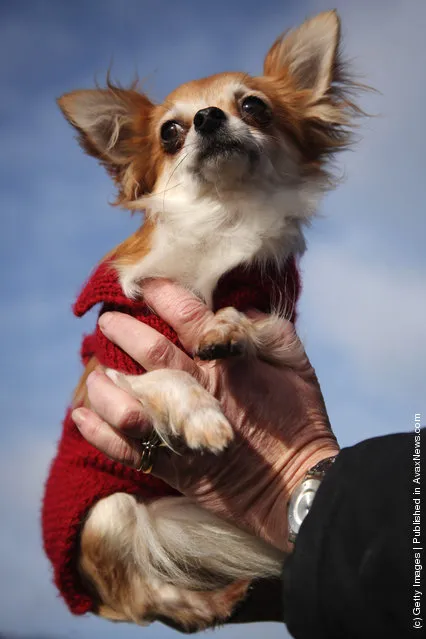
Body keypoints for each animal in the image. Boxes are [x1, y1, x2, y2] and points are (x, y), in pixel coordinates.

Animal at [43, 10, 362, 636]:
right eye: (170, 131)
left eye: (254, 106)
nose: (207, 118)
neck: (224, 217)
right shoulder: (105, 376)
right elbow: (166, 376)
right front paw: (203, 417)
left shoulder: (276, 320)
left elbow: (241, 318)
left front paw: (223, 329)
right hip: (110, 514)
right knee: (145, 600)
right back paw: (211, 601)